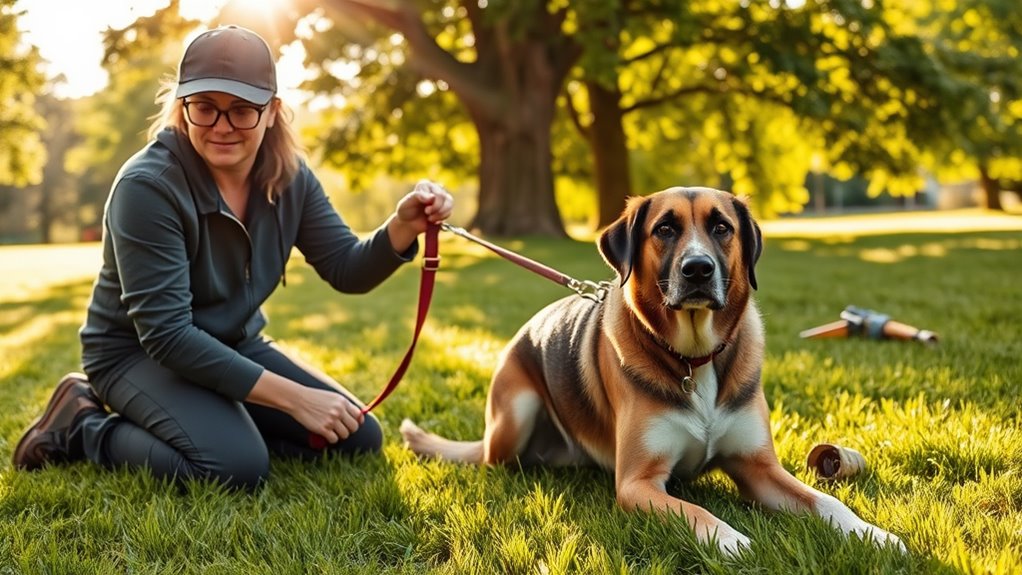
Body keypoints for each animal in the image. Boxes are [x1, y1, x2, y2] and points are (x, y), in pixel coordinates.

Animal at [398, 186, 903, 555]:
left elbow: (826, 500)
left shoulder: (759, 468)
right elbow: (695, 511)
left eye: (722, 227)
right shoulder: (637, 483)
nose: (698, 269)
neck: (694, 358)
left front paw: (874, 534)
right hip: (515, 413)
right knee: (495, 459)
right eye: (665, 228)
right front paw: (733, 541)